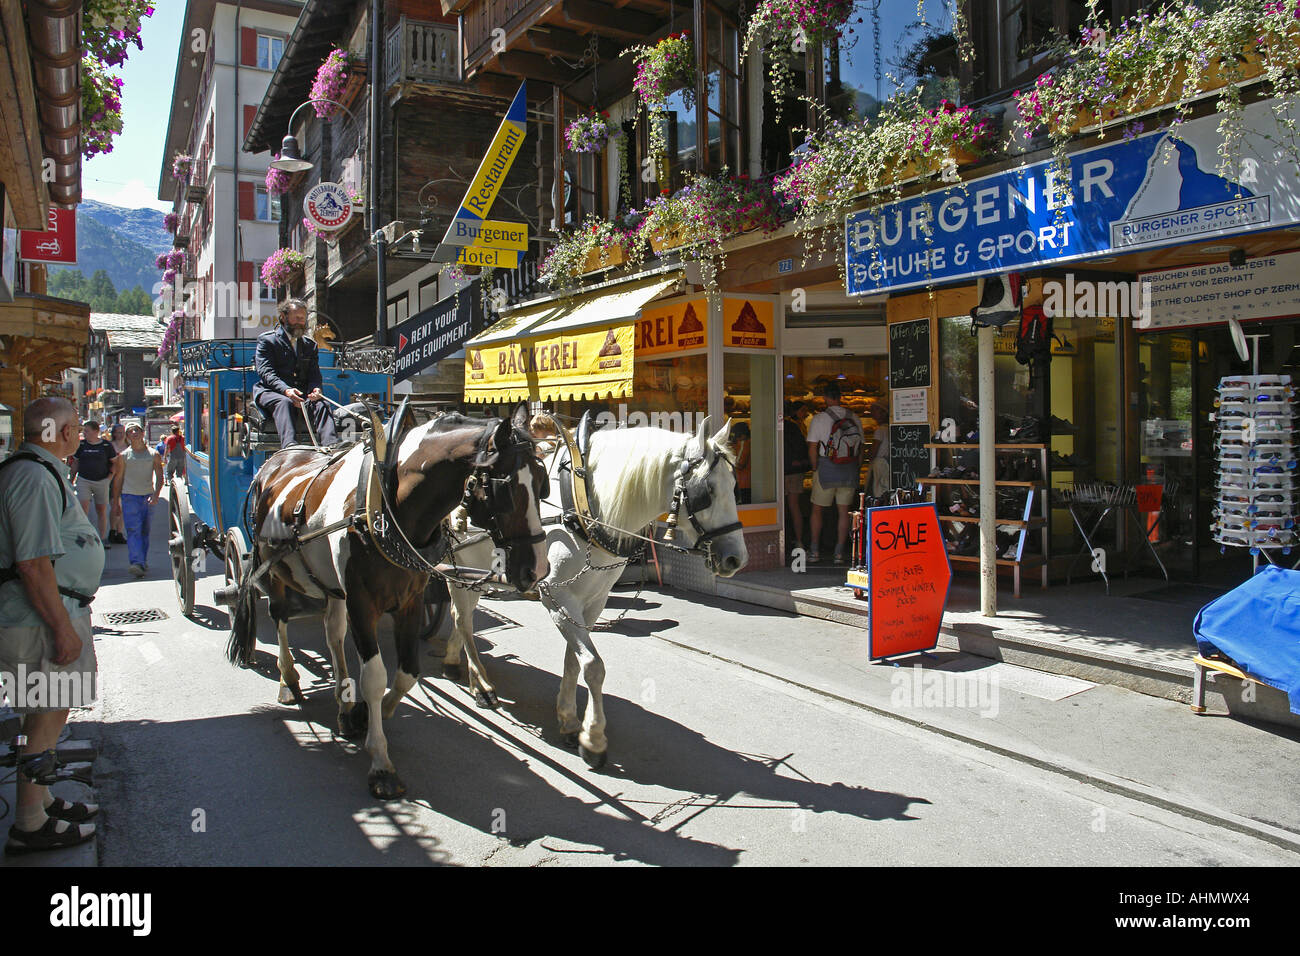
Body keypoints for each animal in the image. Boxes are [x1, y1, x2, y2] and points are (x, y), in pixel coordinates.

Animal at [226, 405, 546, 801]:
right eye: (506, 488)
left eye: (543, 481)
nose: (537, 570)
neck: (388, 504)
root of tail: (276, 460)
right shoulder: (362, 603)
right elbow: (375, 677)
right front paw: (380, 762)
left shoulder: (410, 600)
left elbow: (407, 674)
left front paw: (367, 715)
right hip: (275, 569)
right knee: (280, 617)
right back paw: (289, 680)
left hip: (331, 584)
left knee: (333, 634)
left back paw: (344, 703)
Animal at [436, 416, 748, 764]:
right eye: (708, 491)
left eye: (735, 486)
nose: (736, 558)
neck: (584, 506)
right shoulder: (558, 598)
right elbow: (594, 666)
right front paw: (593, 738)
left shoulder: (593, 601)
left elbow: (575, 660)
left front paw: (569, 721)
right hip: (456, 565)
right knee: (463, 620)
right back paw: (481, 685)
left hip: (470, 573)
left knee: (461, 617)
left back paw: (455, 661)